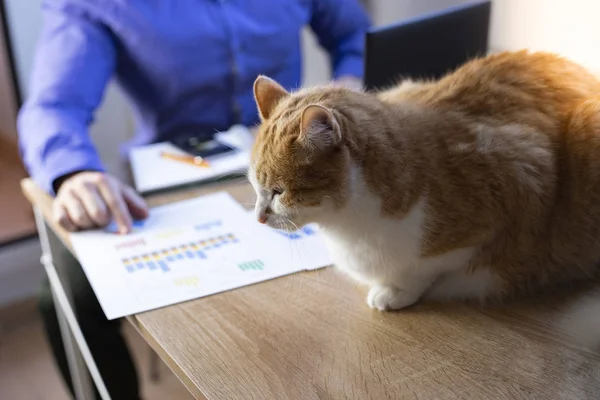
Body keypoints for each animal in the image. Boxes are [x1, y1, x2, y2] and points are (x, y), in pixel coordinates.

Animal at [246, 49, 600, 316]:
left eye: (278, 192)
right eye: (255, 187)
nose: (258, 217)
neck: (348, 227)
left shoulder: (518, 184)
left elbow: (426, 268)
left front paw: (396, 291)